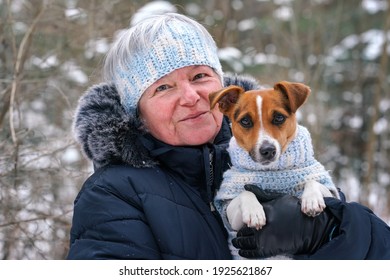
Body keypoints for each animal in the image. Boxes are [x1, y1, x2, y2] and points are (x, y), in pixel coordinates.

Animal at [210, 81, 338, 234]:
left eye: (279, 117)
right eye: (245, 121)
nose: (268, 150)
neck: (273, 171)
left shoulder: (331, 192)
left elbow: (313, 181)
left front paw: (312, 199)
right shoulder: (230, 215)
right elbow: (245, 193)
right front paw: (254, 211)